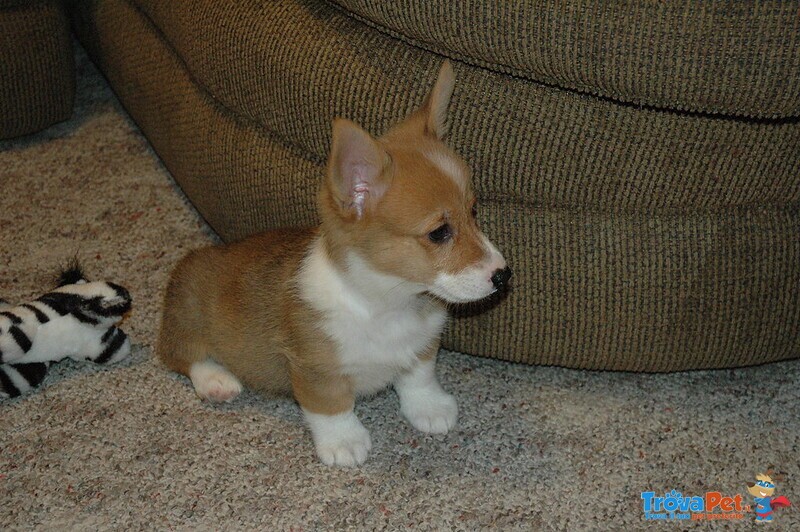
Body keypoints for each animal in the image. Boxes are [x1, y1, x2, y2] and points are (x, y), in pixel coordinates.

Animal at [155, 60, 512, 464]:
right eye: (439, 233)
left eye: (474, 211)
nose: (503, 276)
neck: (389, 302)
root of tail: (197, 258)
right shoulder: (315, 370)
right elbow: (332, 407)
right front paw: (344, 442)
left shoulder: (422, 347)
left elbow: (418, 377)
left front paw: (429, 408)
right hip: (188, 312)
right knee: (178, 353)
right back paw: (216, 380)